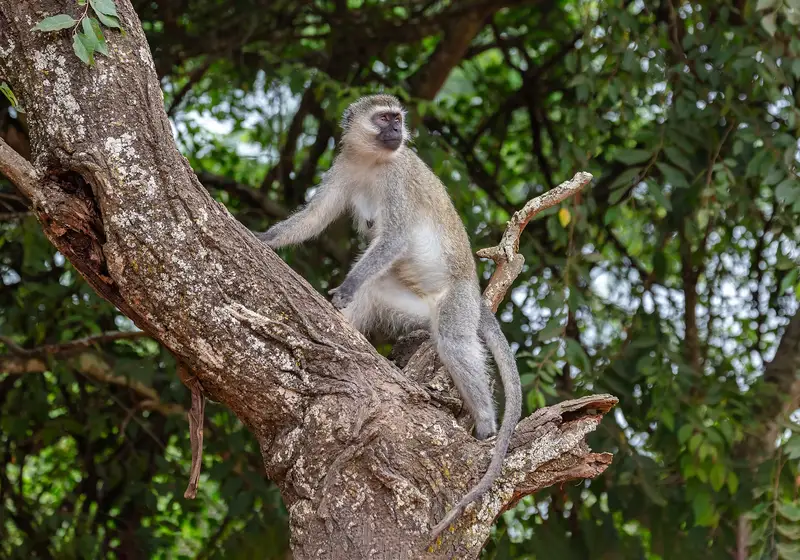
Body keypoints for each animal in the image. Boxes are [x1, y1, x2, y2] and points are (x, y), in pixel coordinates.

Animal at [255, 94, 522, 539]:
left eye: (398, 118)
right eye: (384, 119)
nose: (397, 131)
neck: (373, 162)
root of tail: (475, 295)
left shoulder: (397, 179)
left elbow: (394, 237)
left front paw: (345, 285)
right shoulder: (343, 167)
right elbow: (313, 217)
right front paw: (264, 238)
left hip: (458, 302)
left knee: (453, 340)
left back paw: (485, 419)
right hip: (415, 304)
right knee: (378, 294)